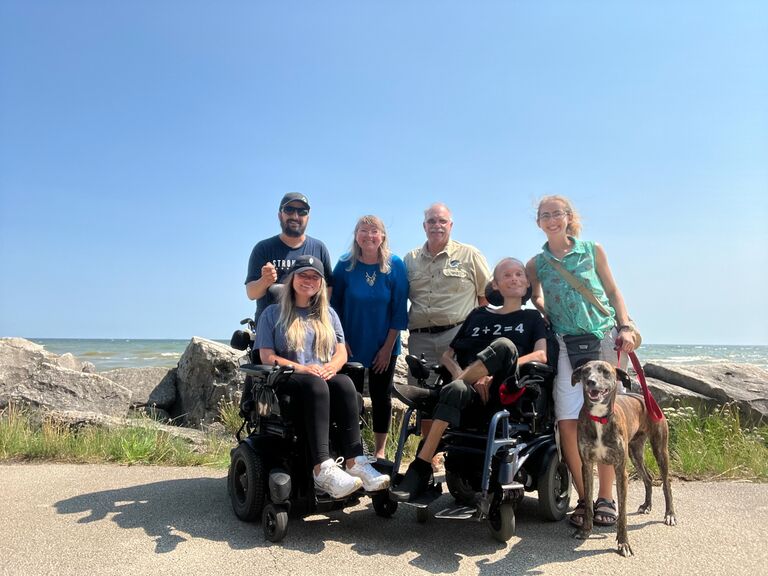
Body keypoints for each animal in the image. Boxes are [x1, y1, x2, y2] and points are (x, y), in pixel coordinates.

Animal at [572, 362, 676, 556]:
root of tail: (644, 398)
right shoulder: (587, 466)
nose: (590, 382)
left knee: (666, 483)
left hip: (660, 450)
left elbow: (622, 513)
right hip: (635, 452)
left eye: (605, 371)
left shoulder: (621, 470)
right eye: (585, 371)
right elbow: (588, 504)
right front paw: (585, 530)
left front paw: (623, 543)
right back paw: (647, 505)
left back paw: (670, 514)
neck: (600, 418)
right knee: (648, 477)